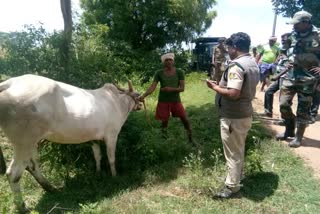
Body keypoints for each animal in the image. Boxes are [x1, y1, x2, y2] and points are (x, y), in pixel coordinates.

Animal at [0, 74, 141, 212]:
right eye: (137, 97)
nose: (139, 104)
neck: (118, 101)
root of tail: (8, 83)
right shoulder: (112, 135)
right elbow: (111, 158)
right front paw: (115, 176)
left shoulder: (93, 139)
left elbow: (97, 156)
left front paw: (98, 172)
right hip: (23, 141)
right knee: (14, 173)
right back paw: (22, 207)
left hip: (32, 142)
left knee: (32, 165)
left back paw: (51, 188)